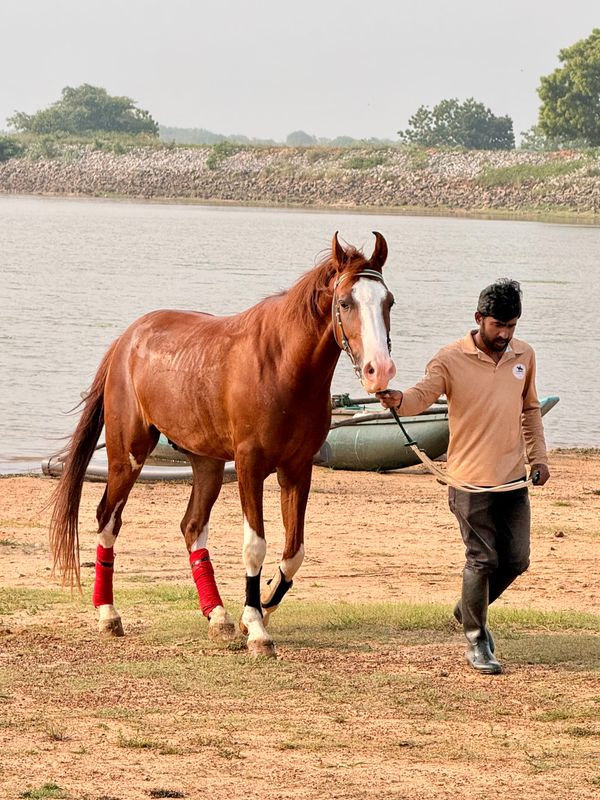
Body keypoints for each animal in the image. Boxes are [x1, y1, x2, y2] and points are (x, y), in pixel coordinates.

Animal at [49, 231, 396, 657]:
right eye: (346, 302)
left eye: (388, 301)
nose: (380, 370)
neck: (283, 365)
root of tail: (126, 340)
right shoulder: (249, 465)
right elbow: (255, 546)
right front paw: (257, 627)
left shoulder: (297, 468)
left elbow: (293, 552)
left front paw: (263, 604)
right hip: (127, 454)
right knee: (107, 520)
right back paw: (108, 614)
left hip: (207, 463)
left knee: (192, 526)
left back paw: (217, 615)